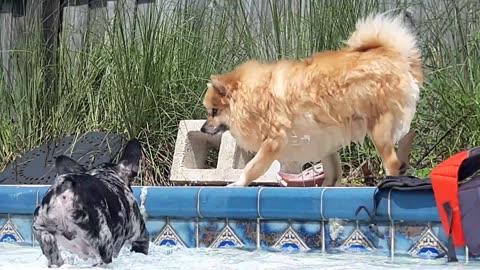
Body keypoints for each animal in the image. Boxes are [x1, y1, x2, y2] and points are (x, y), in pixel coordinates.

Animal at [199, 12, 424, 186]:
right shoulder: (323, 138)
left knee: (391, 161)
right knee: (408, 135)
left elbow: (252, 168)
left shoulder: (274, 140)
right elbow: (333, 173)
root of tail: (390, 52)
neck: (259, 94)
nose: (202, 128)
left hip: (378, 128)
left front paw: (236, 184)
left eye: (214, 112)